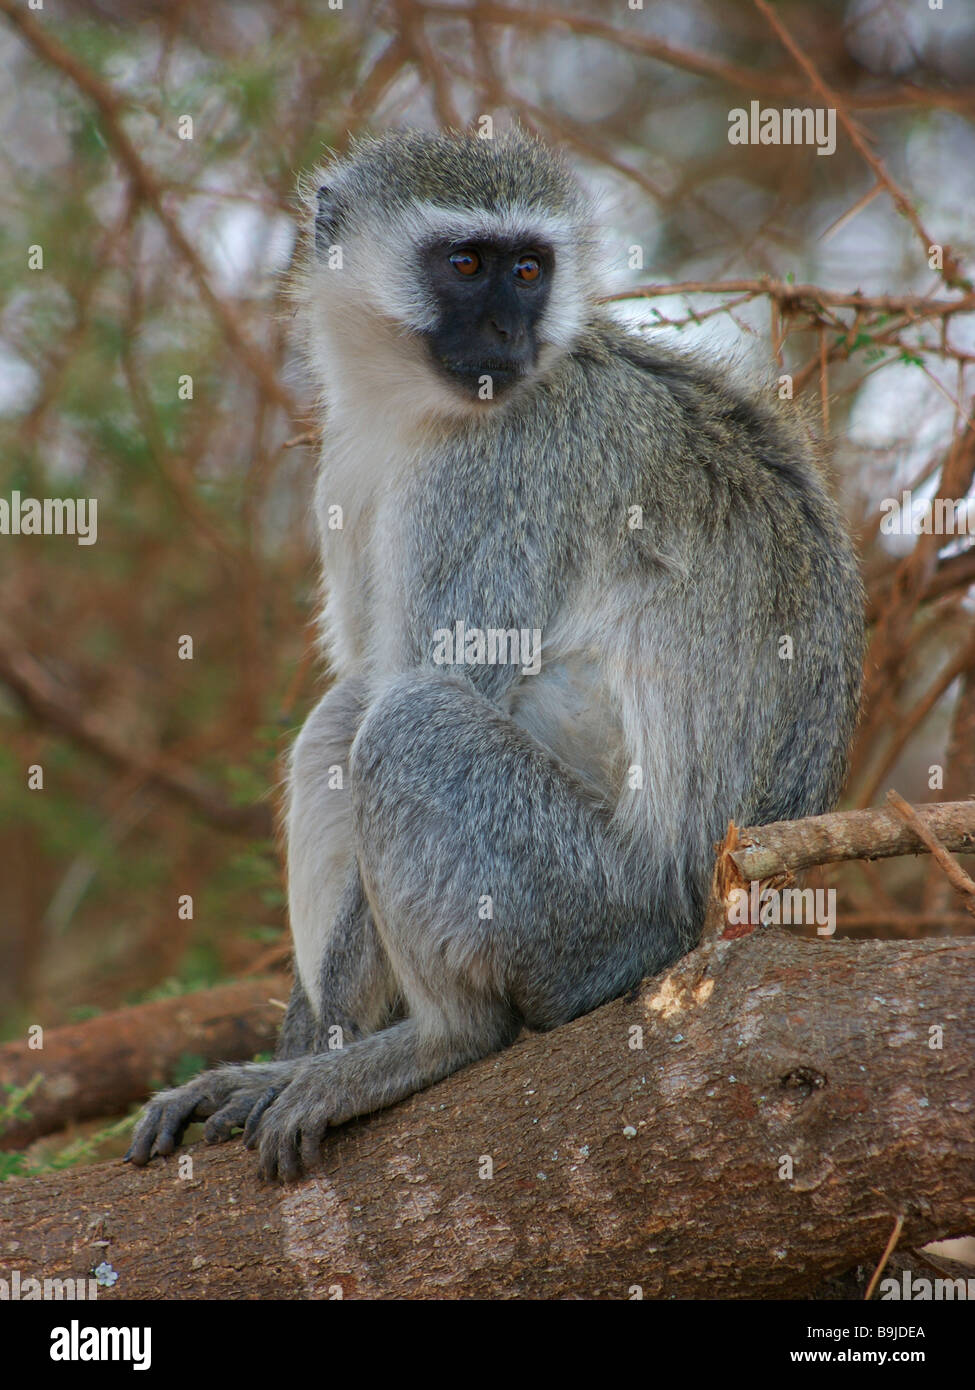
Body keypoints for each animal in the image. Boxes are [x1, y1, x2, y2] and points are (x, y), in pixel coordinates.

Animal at [127, 130, 856, 1178]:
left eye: (529, 270)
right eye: (467, 264)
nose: (510, 335)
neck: (411, 411)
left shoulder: (497, 474)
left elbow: (449, 674)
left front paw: (311, 1058)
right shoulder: (347, 464)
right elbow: (363, 678)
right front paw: (294, 1045)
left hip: (590, 913)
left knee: (410, 720)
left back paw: (441, 1039)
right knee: (346, 714)